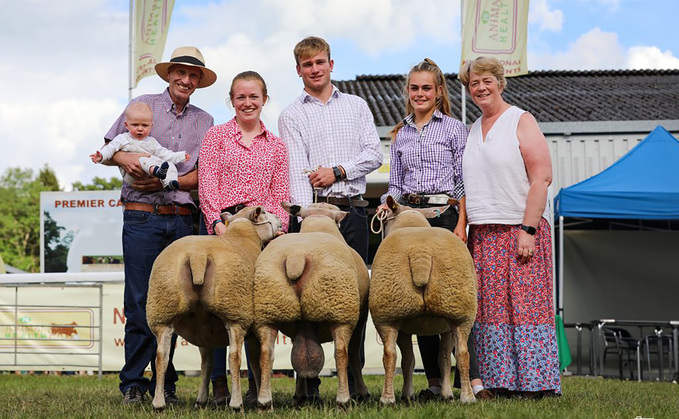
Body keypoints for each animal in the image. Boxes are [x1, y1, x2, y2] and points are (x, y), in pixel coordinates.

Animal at [146, 208, 282, 412]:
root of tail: (197, 256)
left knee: (162, 356)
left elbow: (207, 363)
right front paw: (264, 402)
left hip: (163, 310)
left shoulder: (204, 331)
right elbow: (258, 362)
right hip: (234, 312)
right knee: (234, 357)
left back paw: (159, 404)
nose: (281, 221)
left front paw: (201, 400)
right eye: (264, 211)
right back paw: (237, 404)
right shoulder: (254, 327)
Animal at [252, 203, 370, 410]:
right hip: (341, 309)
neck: (318, 221)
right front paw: (363, 393)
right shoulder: (361, 317)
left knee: (266, 353)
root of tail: (297, 257)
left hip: (268, 310)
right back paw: (344, 400)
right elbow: (355, 357)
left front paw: (299, 395)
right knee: (341, 353)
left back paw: (265, 403)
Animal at [370, 197, 476, 406]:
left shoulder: (407, 326)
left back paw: (387, 399)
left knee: (390, 355)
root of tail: (421, 252)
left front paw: (410, 394)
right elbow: (439, 358)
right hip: (459, 310)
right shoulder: (441, 325)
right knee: (463, 354)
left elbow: (413, 359)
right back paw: (467, 397)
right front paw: (446, 393)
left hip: (390, 312)